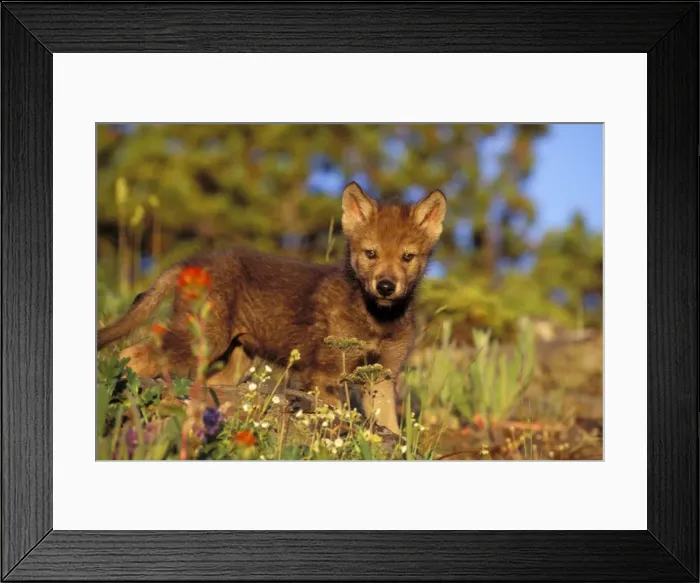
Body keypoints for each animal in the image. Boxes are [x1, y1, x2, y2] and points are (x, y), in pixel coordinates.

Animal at [97, 182, 446, 434]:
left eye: (408, 257)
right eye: (370, 253)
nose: (385, 287)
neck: (377, 319)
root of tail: (191, 261)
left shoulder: (382, 376)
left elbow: (391, 429)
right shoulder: (324, 374)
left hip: (236, 358)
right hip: (202, 339)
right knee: (132, 355)